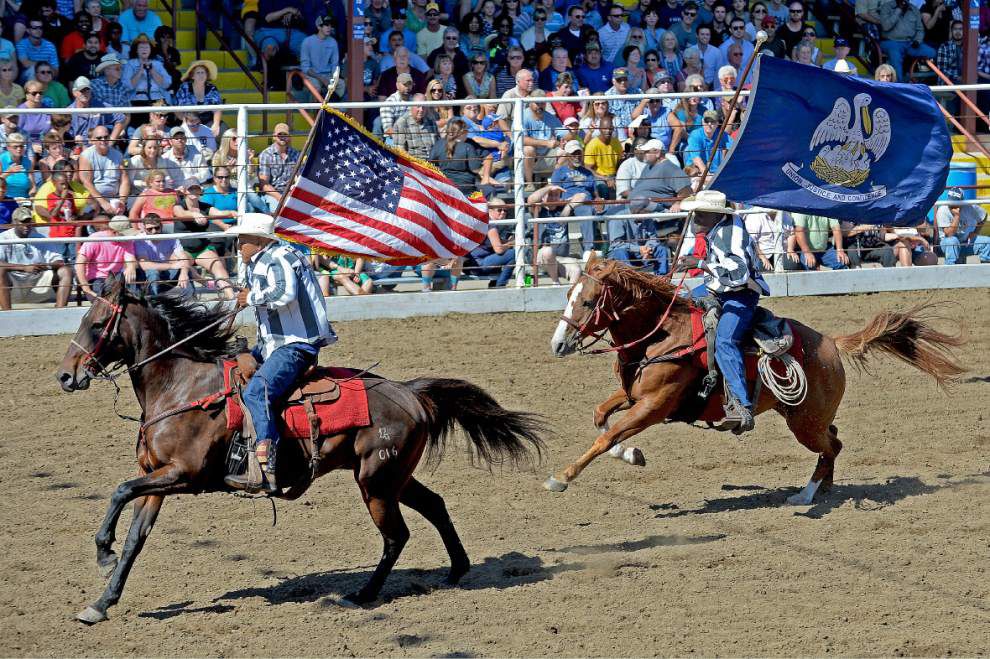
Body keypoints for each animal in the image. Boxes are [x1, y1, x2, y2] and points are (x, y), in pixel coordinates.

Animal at [58, 276, 548, 628]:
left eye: (98, 325)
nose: (65, 376)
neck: (181, 387)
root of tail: (410, 392)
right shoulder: (159, 478)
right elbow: (135, 538)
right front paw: (102, 601)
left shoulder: (185, 475)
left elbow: (120, 491)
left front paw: (102, 553)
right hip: (396, 477)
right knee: (435, 506)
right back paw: (456, 570)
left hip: (375, 483)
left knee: (396, 535)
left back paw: (363, 596)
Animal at [548, 260, 964, 502]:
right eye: (568, 294)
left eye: (587, 302)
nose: (557, 344)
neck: (662, 336)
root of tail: (831, 343)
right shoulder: (633, 396)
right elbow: (601, 419)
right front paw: (632, 454)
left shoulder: (654, 406)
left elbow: (605, 438)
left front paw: (562, 476)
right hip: (802, 415)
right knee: (834, 441)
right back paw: (824, 487)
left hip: (804, 423)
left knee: (832, 445)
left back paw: (806, 495)